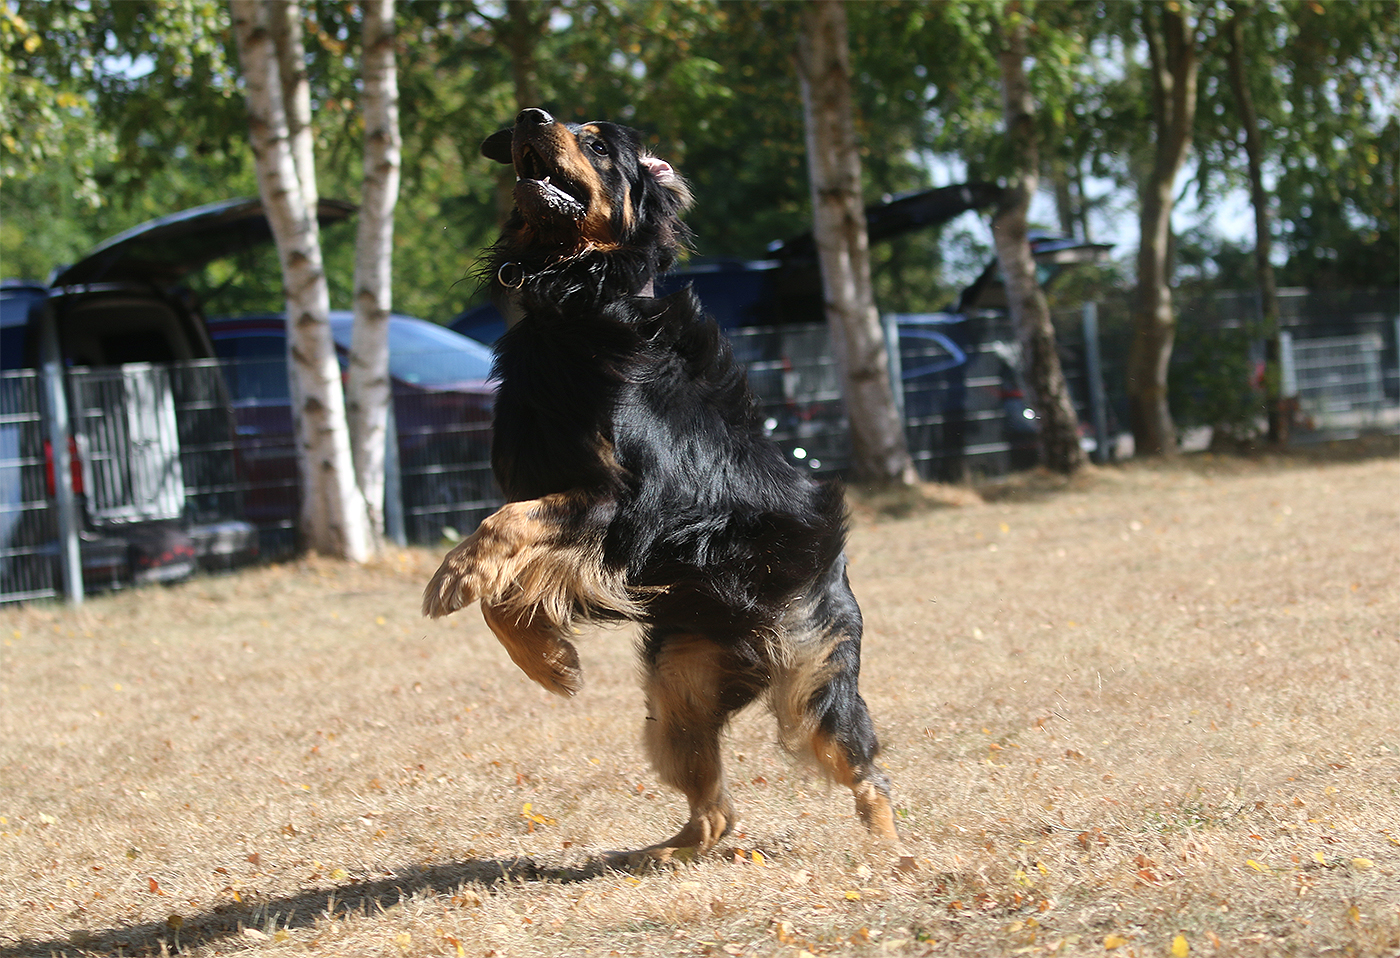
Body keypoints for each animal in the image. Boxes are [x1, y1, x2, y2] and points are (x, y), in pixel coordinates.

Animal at [423, 108, 906, 868]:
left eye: (595, 142)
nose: (530, 115)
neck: (575, 304)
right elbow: (505, 577)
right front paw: (549, 661)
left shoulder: (626, 509)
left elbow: (505, 525)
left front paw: (456, 583)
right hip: (679, 687)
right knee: (717, 807)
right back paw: (664, 854)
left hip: (811, 673)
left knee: (864, 770)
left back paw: (893, 854)